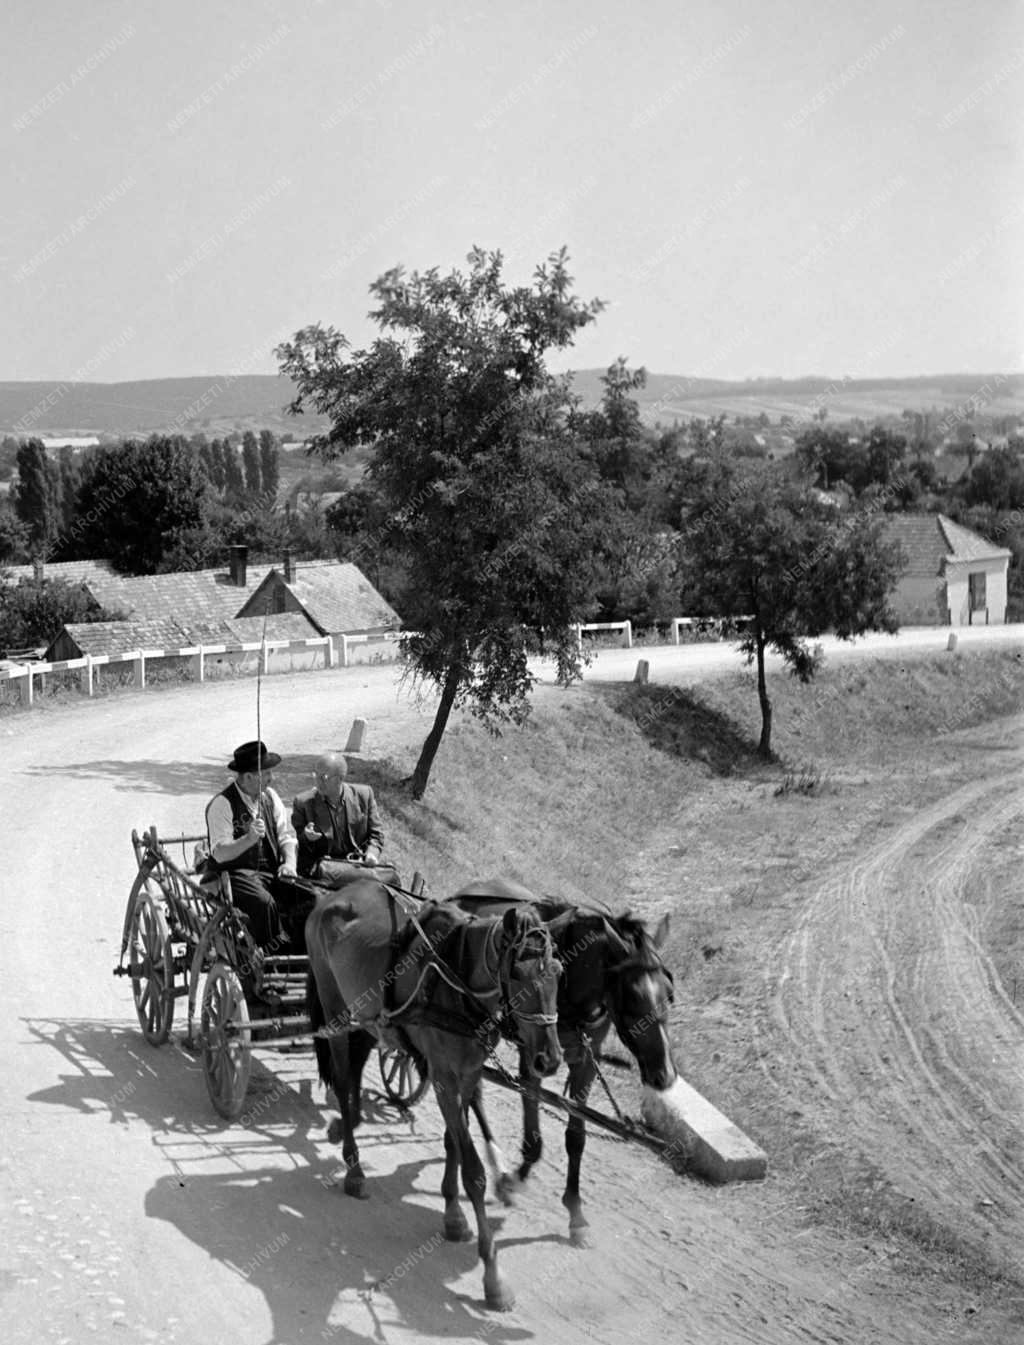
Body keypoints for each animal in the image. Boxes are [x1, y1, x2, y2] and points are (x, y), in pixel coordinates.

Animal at [305, 876, 559, 1307]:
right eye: (519, 976)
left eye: (558, 972)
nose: (549, 1059)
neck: (457, 977)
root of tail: (334, 893)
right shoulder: (442, 1074)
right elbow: (474, 1170)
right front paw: (493, 1277)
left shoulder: (466, 1073)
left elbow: (454, 1139)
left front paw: (453, 1215)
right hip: (333, 1004)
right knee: (341, 1073)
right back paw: (353, 1167)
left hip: (366, 1014)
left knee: (356, 1063)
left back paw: (345, 1123)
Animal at [452, 882, 675, 1248]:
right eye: (631, 997)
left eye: (669, 994)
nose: (665, 1076)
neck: (572, 988)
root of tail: (466, 892)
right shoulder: (535, 1056)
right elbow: (533, 1132)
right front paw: (516, 1177)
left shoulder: (586, 1061)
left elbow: (577, 1137)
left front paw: (576, 1214)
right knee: (471, 1087)